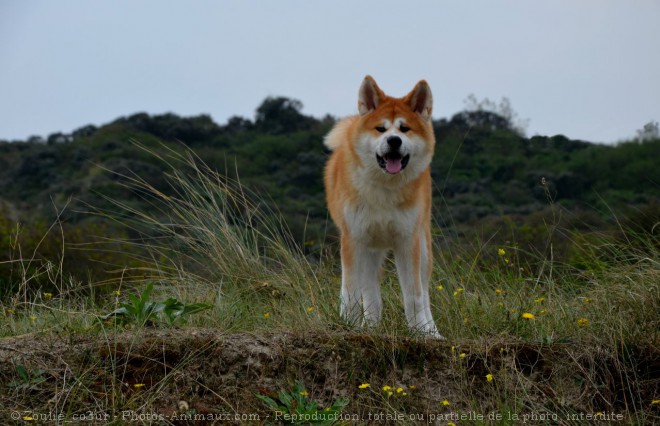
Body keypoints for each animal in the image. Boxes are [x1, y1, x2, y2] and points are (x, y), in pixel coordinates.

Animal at [322, 75, 440, 338]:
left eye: (404, 129)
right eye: (381, 129)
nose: (394, 140)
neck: (384, 190)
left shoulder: (407, 242)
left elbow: (414, 296)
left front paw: (420, 332)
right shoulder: (353, 240)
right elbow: (352, 294)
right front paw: (350, 326)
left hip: (422, 245)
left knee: (425, 293)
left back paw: (432, 331)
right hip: (369, 250)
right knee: (371, 295)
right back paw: (371, 327)